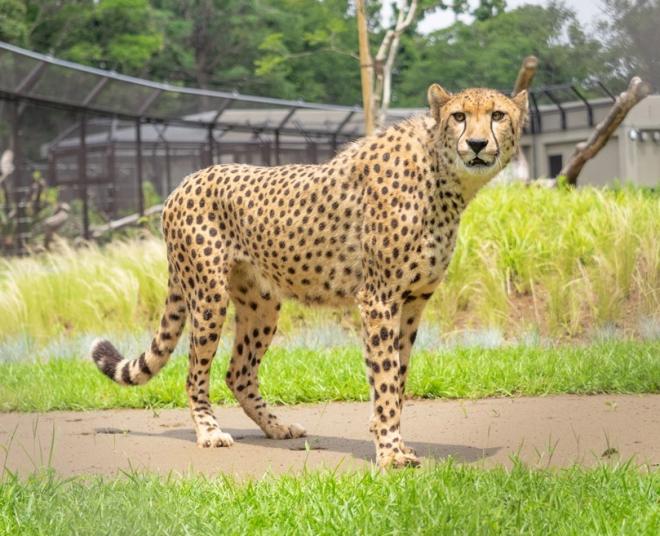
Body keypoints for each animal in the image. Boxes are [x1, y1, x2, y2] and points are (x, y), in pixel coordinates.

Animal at [91, 85, 524, 468]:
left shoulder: (413, 302)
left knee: (238, 372)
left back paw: (276, 427)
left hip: (261, 304)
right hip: (209, 296)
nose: (477, 144)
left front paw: (395, 442)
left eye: (498, 115)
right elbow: (385, 380)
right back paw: (209, 433)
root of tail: (185, 181)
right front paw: (389, 454)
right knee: (195, 372)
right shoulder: (379, 299)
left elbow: (398, 378)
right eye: (460, 116)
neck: (445, 178)